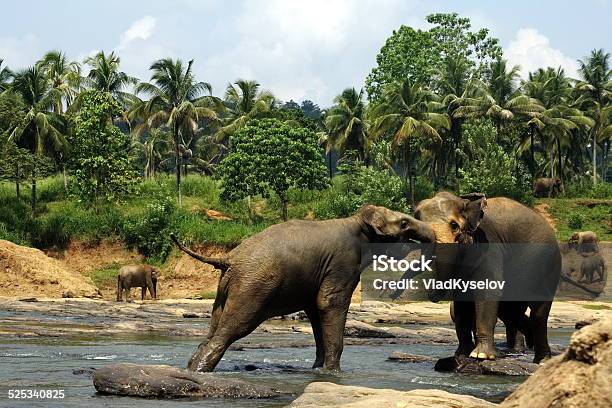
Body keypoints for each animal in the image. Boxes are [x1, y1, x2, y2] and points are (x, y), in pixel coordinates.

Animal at [170, 206, 432, 372]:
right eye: (404, 223)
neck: (357, 220)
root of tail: (228, 258)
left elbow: (315, 311)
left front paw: (318, 370)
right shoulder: (343, 264)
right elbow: (329, 303)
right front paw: (334, 374)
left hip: (227, 288)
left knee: (212, 330)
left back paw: (191, 368)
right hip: (252, 287)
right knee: (231, 331)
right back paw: (199, 371)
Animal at [414, 193, 560, 362]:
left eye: (454, 226)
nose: (430, 291)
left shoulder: (489, 245)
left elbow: (487, 291)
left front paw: (481, 356)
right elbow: (462, 300)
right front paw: (462, 354)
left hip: (547, 264)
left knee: (538, 311)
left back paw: (542, 360)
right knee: (512, 311)